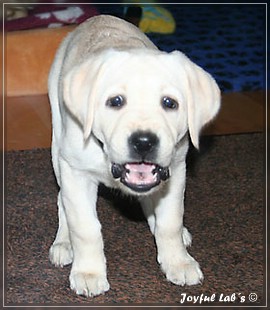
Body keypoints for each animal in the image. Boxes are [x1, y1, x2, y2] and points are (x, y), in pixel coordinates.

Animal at [48, 15, 219, 298]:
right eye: (116, 101)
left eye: (170, 103)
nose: (144, 142)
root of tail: (97, 18)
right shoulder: (76, 172)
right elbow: (85, 227)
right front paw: (89, 273)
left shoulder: (175, 169)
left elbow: (170, 221)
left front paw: (178, 261)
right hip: (57, 149)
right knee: (62, 199)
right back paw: (63, 242)